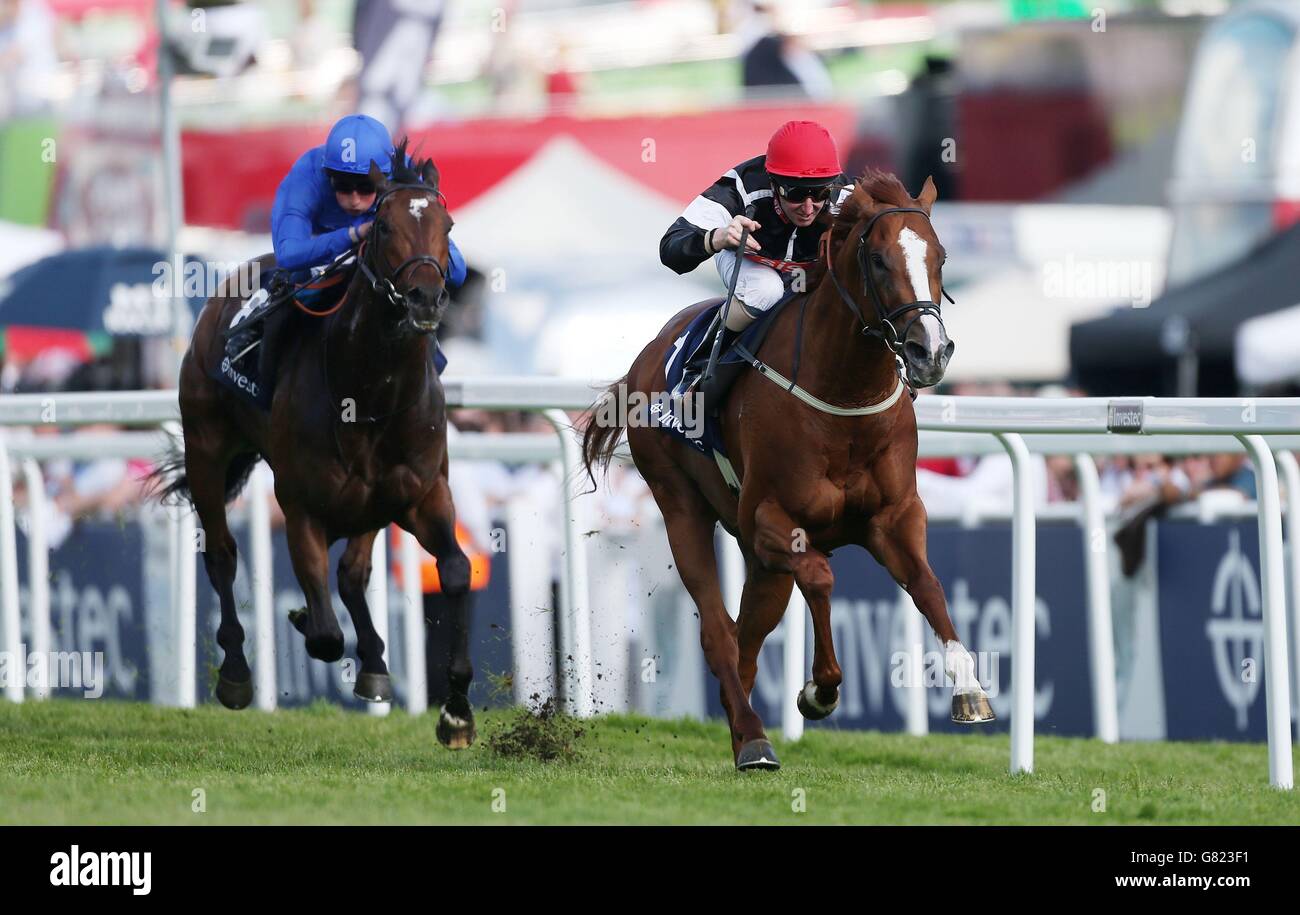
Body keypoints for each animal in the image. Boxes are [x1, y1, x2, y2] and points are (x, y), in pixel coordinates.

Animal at [152, 139, 478, 748]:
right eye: (383, 227)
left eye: (447, 226)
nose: (425, 297)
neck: (368, 390)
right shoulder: (300, 503)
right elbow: (324, 632)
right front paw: (303, 621)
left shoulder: (422, 494)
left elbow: (453, 570)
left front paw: (456, 712)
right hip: (207, 449)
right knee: (223, 555)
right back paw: (237, 671)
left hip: (371, 503)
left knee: (351, 574)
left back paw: (373, 660)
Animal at [585, 167, 987, 769]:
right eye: (878, 261)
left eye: (940, 256)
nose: (929, 353)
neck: (843, 397)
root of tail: (650, 351)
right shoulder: (769, 520)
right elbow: (820, 576)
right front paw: (819, 690)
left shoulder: (894, 517)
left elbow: (928, 585)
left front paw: (969, 689)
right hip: (680, 505)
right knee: (719, 632)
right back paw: (753, 739)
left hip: (759, 559)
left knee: (748, 635)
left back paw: (743, 731)